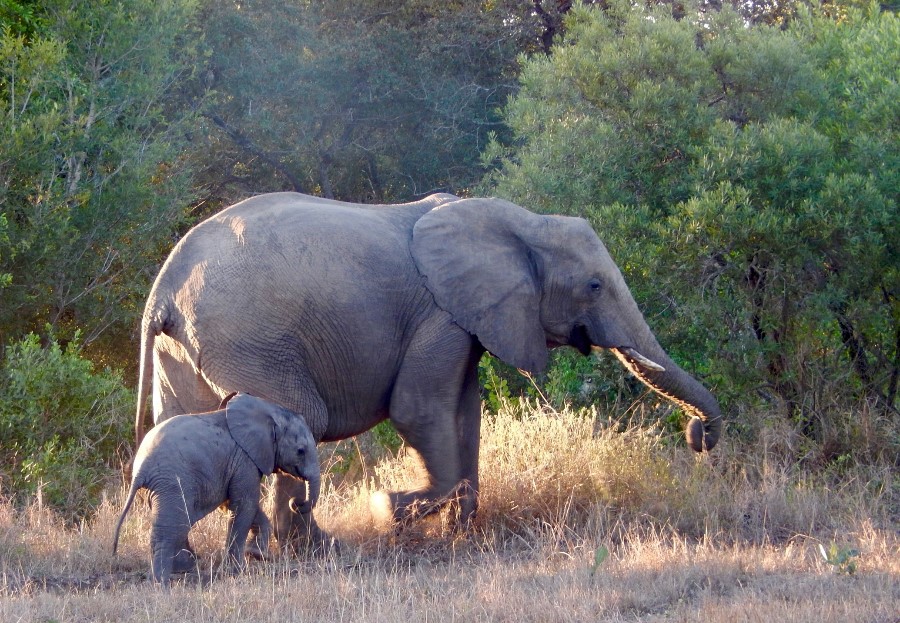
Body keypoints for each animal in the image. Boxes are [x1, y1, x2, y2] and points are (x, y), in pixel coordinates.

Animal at [114, 392, 320, 588]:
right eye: (300, 451)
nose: (295, 502)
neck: (269, 410)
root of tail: (141, 467)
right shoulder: (244, 460)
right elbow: (244, 504)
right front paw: (236, 571)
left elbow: (240, 505)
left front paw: (256, 554)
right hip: (171, 481)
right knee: (171, 528)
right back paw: (162, 584)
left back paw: (180, 570)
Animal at [135, 193, 724, 548]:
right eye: (594, 286)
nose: (698, 437)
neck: (519, 221)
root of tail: (163, 291)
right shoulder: (440, 316)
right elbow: (418, 411)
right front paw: (386, 508)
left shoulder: (465, 322)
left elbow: (466, 413)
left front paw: (462, 534)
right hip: (249, 341)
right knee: (299, 419)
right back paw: (312, 550)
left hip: (183, 351)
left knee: (186, 430)